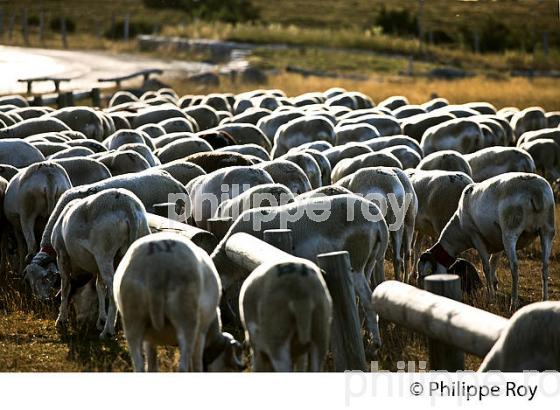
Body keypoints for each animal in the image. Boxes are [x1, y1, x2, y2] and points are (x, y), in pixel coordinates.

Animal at [114, 234, 243, 372]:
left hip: (132, 317)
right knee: (183, 367)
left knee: (138, 365)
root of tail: (157, 268)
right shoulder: (200, 334)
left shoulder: (149, 340)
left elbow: (152, 364)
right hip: (186, 317)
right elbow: (196, 364)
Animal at [418, 171, 552, 310]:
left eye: (424, 274)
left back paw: (513, 303)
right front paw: (493, 286)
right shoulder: (498, 241)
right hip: (547, 229)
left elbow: (486, 267)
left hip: (510, 232)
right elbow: (493, 264)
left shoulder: (476, 236)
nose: (422, 291)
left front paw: (491, 297)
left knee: (514, 267)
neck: (458, 230)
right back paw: (545, 300)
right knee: (545, 266)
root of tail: (535, 191)